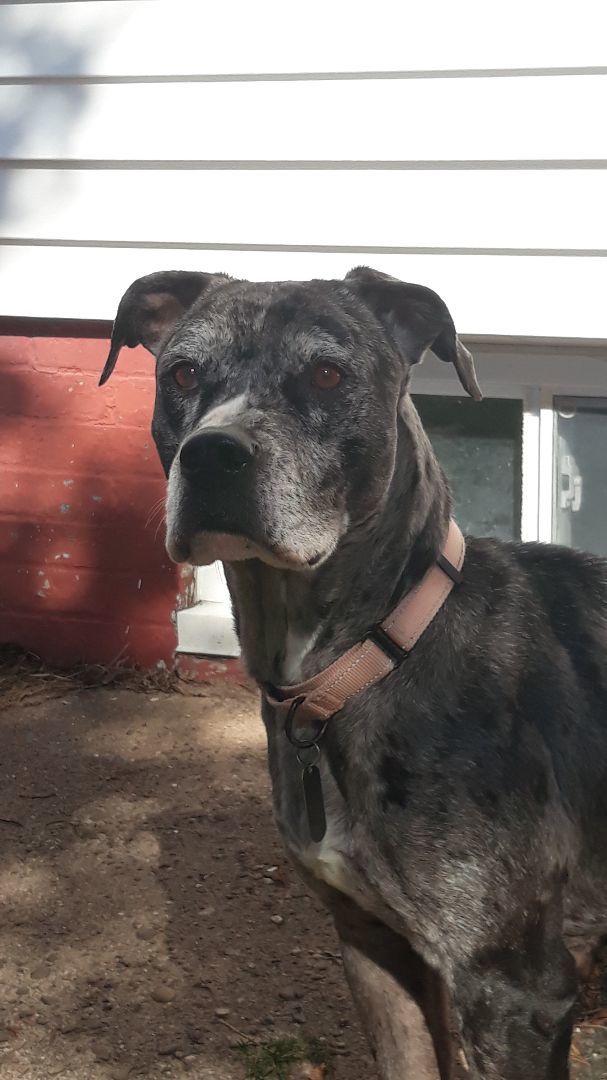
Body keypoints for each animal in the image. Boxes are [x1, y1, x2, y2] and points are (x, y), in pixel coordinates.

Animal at [99, 265, 604, 1075]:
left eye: (327, 374)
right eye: (181, 373)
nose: (212, 454)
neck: (368, 659)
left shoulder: (513, 989)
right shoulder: (373, 946)